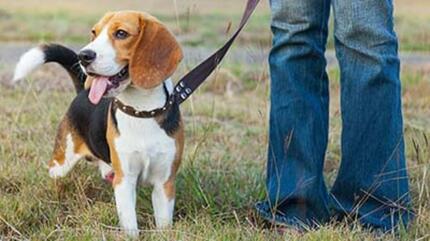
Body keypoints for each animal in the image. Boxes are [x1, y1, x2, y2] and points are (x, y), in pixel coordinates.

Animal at [13, 10, 185, 236]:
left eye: (121, 33)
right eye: (94, 32)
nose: (83, 56)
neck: (141, 111)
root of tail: (82, 92)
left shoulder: (164, 183)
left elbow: (164, 223)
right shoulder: (124, 181)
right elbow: (130, 224)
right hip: (62, 162)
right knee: (54, 175)